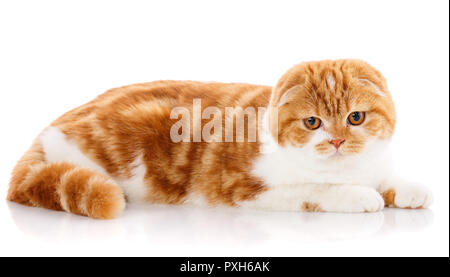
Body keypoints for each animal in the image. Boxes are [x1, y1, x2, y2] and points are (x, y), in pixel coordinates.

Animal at [7, 59, 432, 218]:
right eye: (312, 122)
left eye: (355, 118)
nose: (338, 142)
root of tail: (48, 127)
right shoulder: (245, 189)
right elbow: (316, 191)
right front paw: (358, 195)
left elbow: (387, 178)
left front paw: (410, 189)